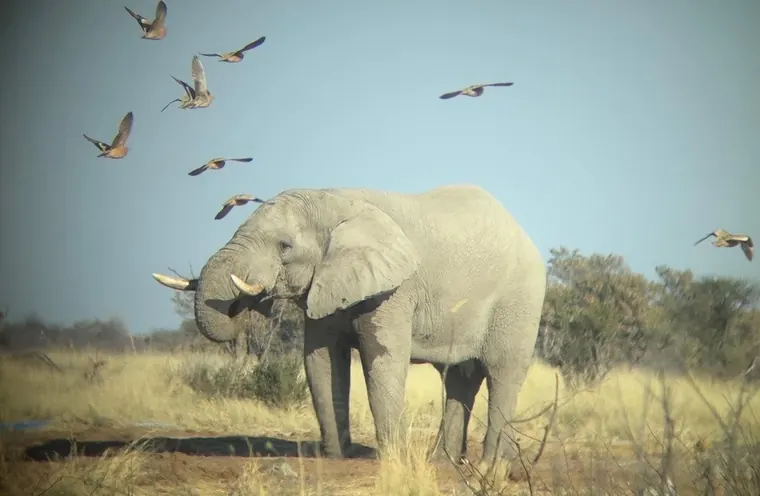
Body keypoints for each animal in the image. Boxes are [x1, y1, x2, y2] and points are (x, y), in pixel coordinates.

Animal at [152, 184, 547, 477]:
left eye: (284, 246)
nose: (247, 301)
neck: (334, 200)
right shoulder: (324, 281)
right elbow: (321, 362)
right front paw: (336, 456)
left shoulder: (395, 288)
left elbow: (382, 360)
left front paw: (393, 460)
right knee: (460, 379)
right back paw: (446, 462)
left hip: (519, 301)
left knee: (502, 374)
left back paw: (490, 468)